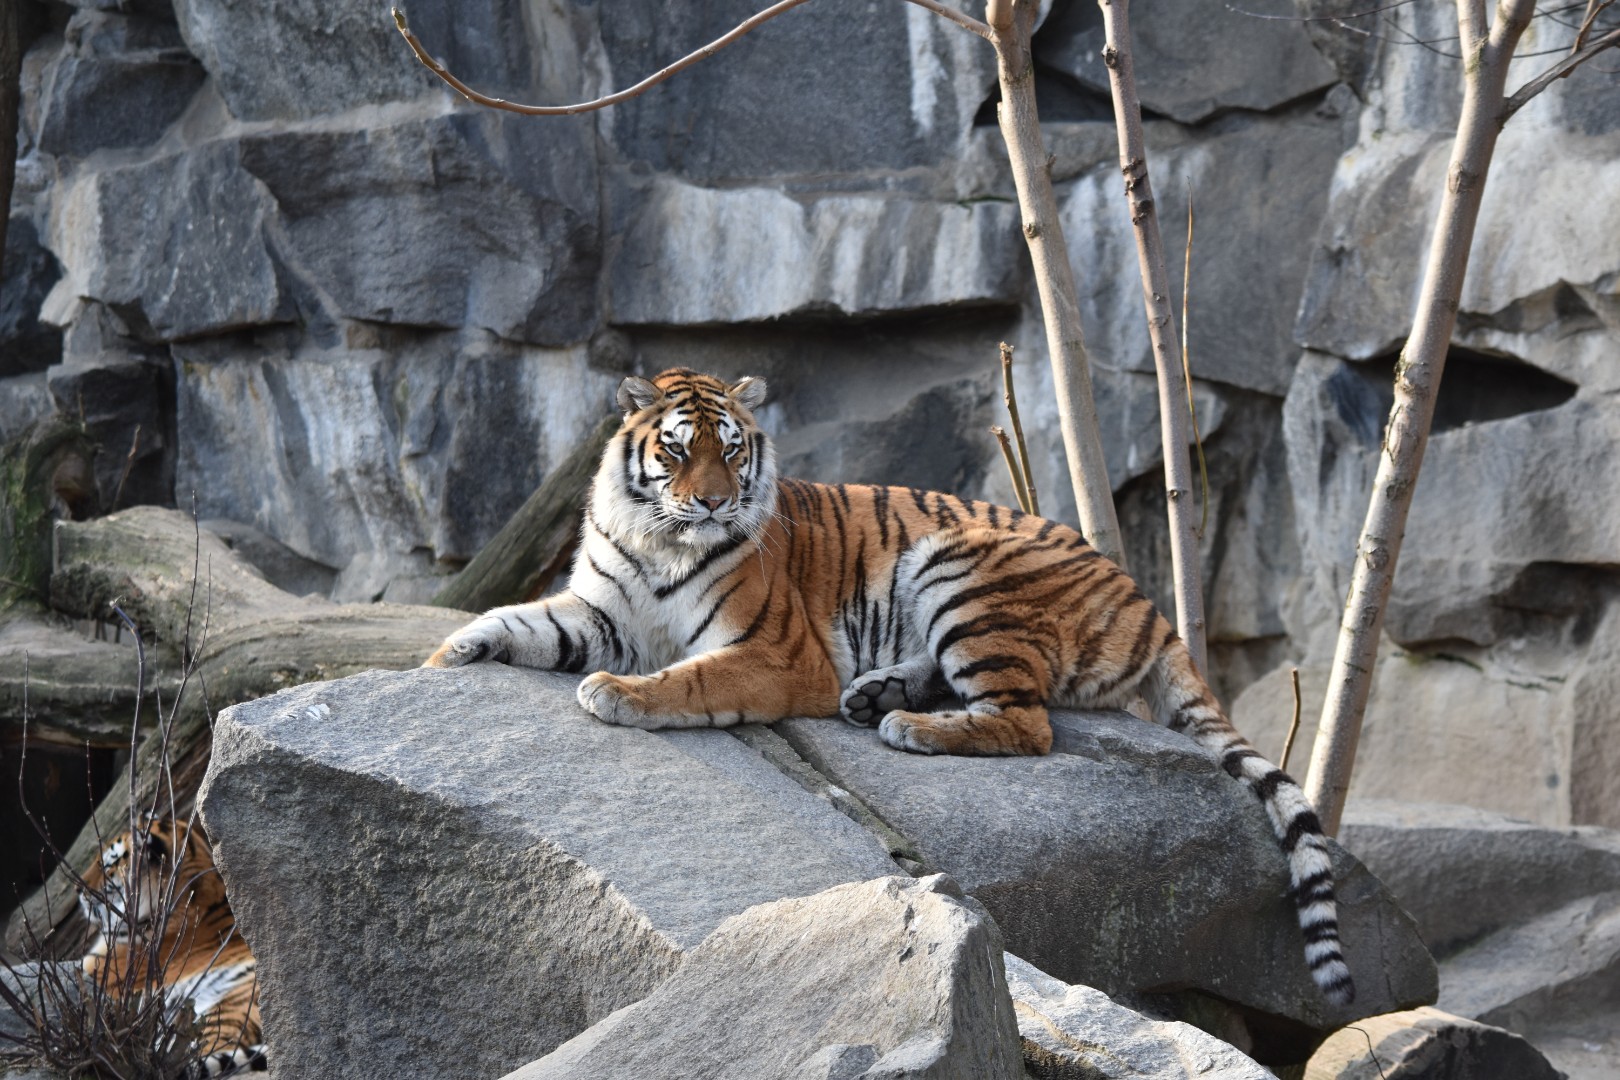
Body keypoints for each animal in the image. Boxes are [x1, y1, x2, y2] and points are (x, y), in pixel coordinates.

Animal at [424, 367, 1356, 1006]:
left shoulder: (774, 651)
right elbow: (515, 621)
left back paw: (908, 727)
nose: (718, 505)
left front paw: (620, 694)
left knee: (1027, 721)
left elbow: (691, 677)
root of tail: (1147, 600)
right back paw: (875, 695)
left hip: (958, 563)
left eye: (732, 449)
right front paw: (443, 660)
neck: (656, 537)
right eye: (677, 448)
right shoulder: (599, 609)